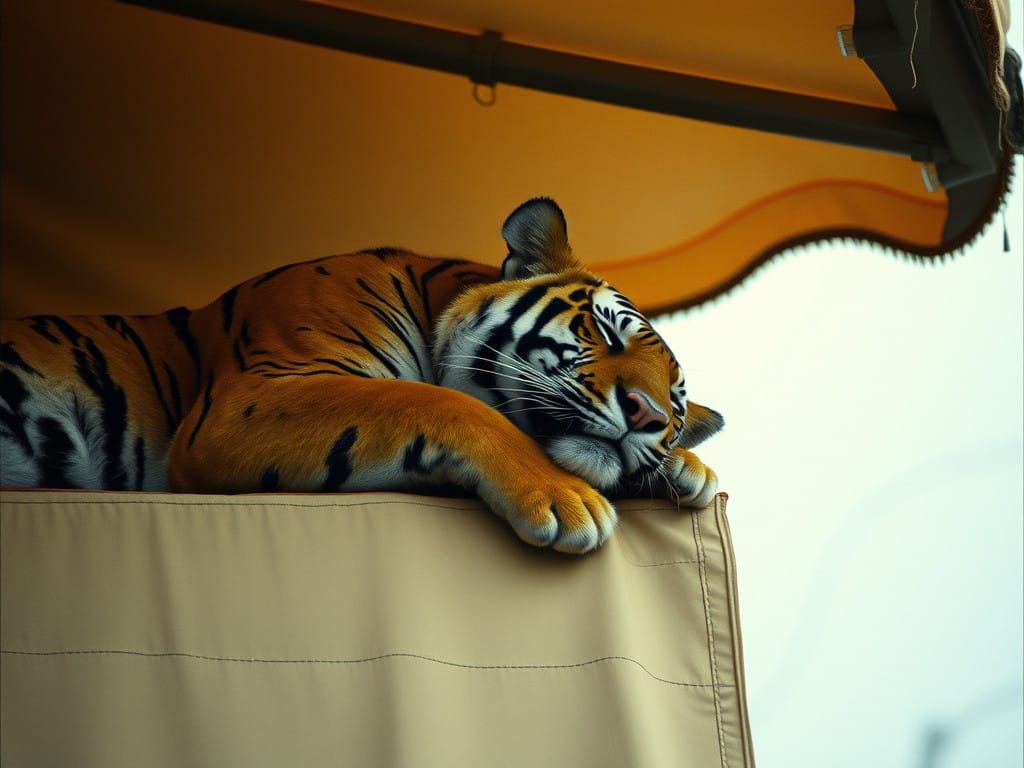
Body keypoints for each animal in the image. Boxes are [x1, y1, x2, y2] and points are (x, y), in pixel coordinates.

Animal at [0, 198, 722, 553]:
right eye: (604, 331)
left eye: (675, 406)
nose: (649, 417)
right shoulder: (249, 396)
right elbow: (433, 401)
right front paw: (566, 497)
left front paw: (688, 467)